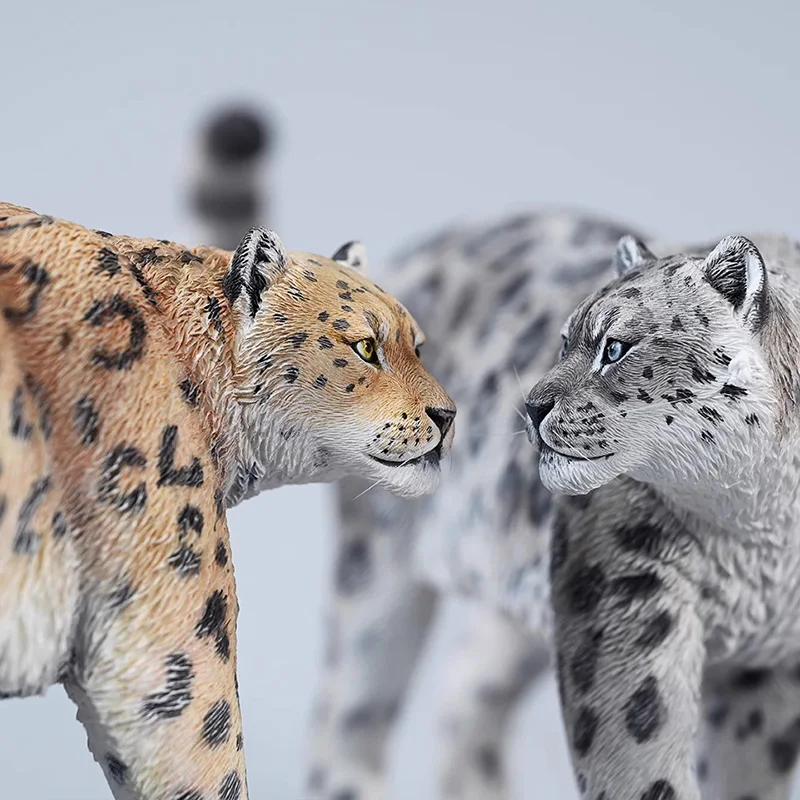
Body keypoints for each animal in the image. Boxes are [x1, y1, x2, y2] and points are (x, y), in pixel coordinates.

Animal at [527, 232, 800, 800]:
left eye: (614, 347)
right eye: (564, 343)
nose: (531, 407)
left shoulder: (770, 666)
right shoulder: (624, 589)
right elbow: (643, 759)